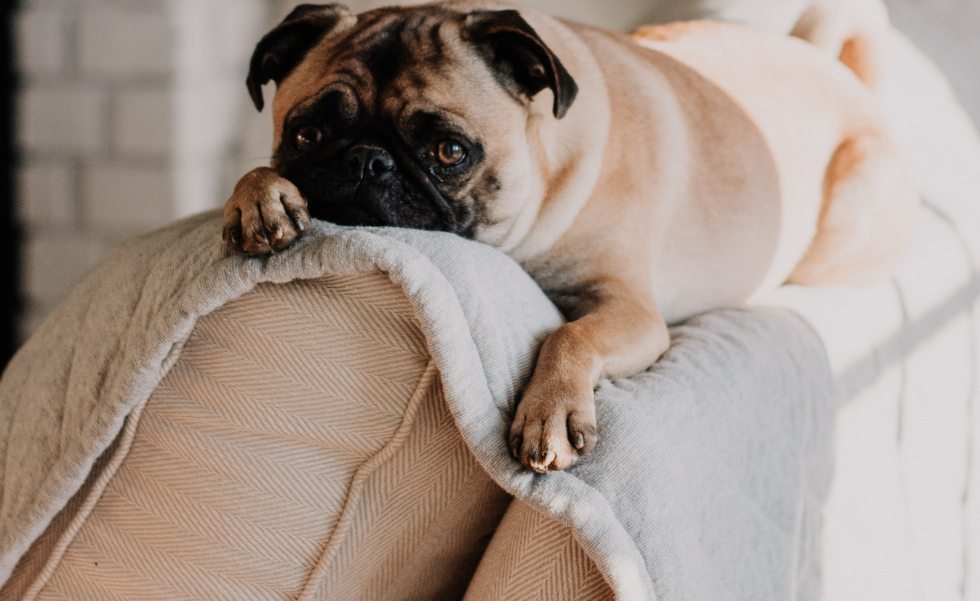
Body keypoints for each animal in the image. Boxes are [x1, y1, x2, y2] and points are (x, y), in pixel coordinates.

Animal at [222, 0, 920, 472]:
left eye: (449, 152)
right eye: (306, 134)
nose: (369, 162)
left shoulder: (632, 310)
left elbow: (570, 334)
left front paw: (551, 414)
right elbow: (259, 176)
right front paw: (258, 196)